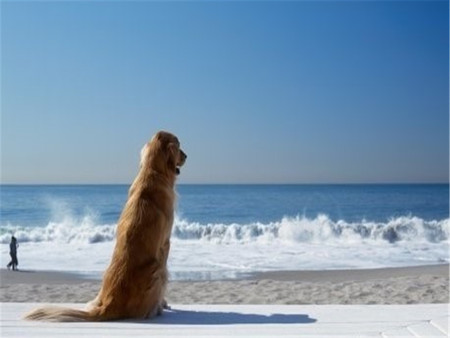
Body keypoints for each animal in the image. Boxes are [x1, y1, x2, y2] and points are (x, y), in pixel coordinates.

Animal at [25, 131, 186, 320]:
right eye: (179, 146)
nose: (186, 156)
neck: (152, 172)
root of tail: (108, 305)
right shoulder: (165, 244)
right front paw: (163, 303)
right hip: (157, 269)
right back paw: (156, 309)